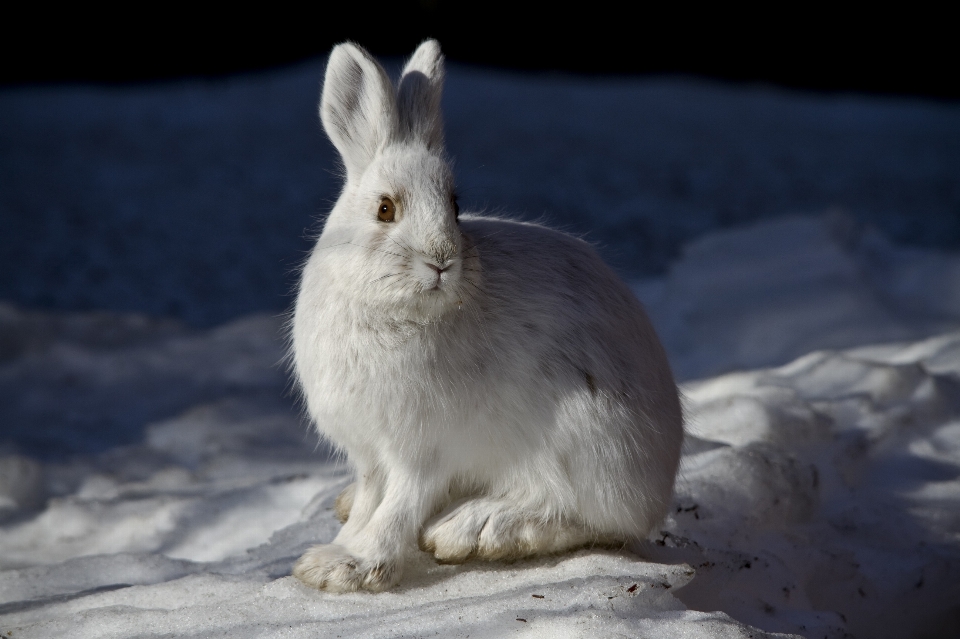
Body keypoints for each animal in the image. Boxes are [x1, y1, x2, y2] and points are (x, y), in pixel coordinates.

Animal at [292, 37, 684, 592]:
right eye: (385, 209)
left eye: (455, 207)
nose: (442, 259)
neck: (403, 311)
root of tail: (659, 479)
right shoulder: (370, 452)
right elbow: (372, 498)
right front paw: (330, 556)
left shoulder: (423, 450)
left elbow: (398, 505)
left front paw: (355, 565)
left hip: (585, 439)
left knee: (583, 516)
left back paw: (476, 528)